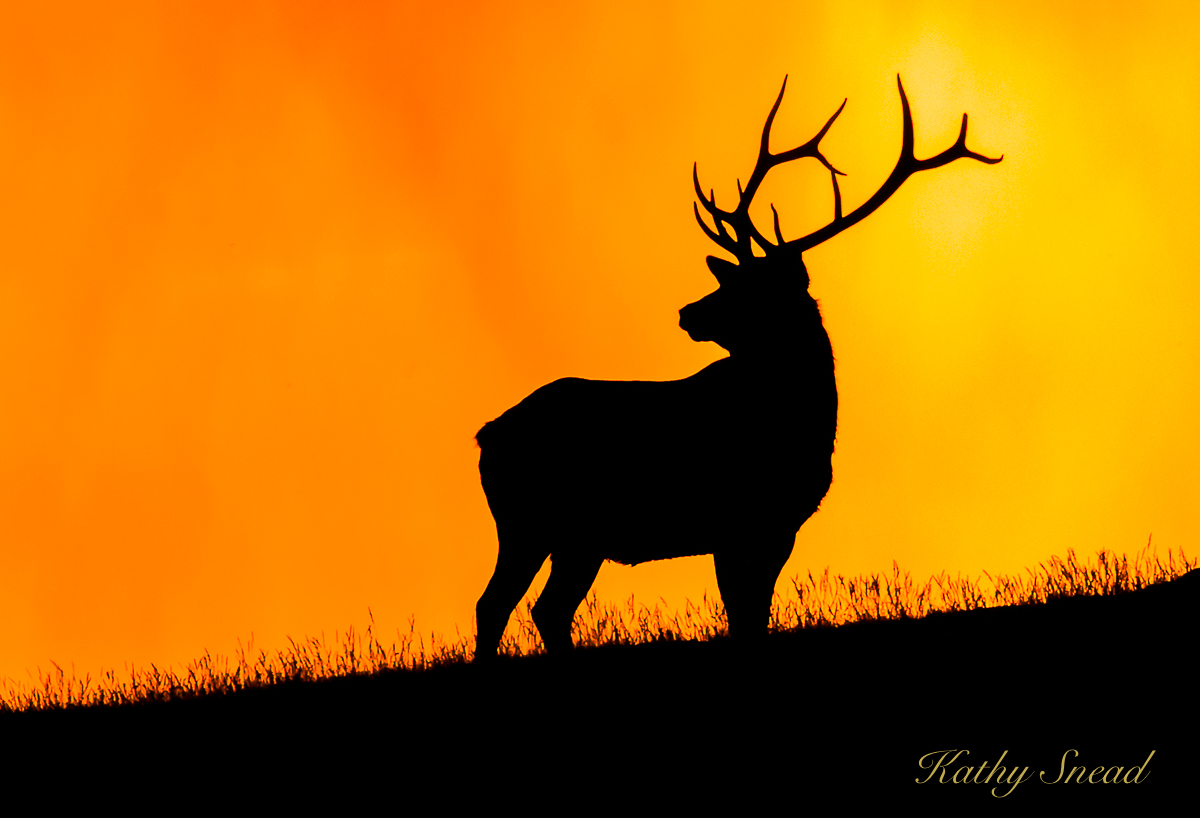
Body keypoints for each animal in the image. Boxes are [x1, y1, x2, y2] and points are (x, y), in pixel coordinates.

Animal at [473, 75, 1001, 661]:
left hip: (577, 537)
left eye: (751, 288)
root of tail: (487, 434)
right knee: (496, 604)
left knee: (545, 609)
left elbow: (758, 614)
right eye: (732, 280)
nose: (687, 312)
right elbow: (739, 615)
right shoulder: (726, 521)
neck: (800, 425)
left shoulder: (780, 527)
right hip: (526, 521)